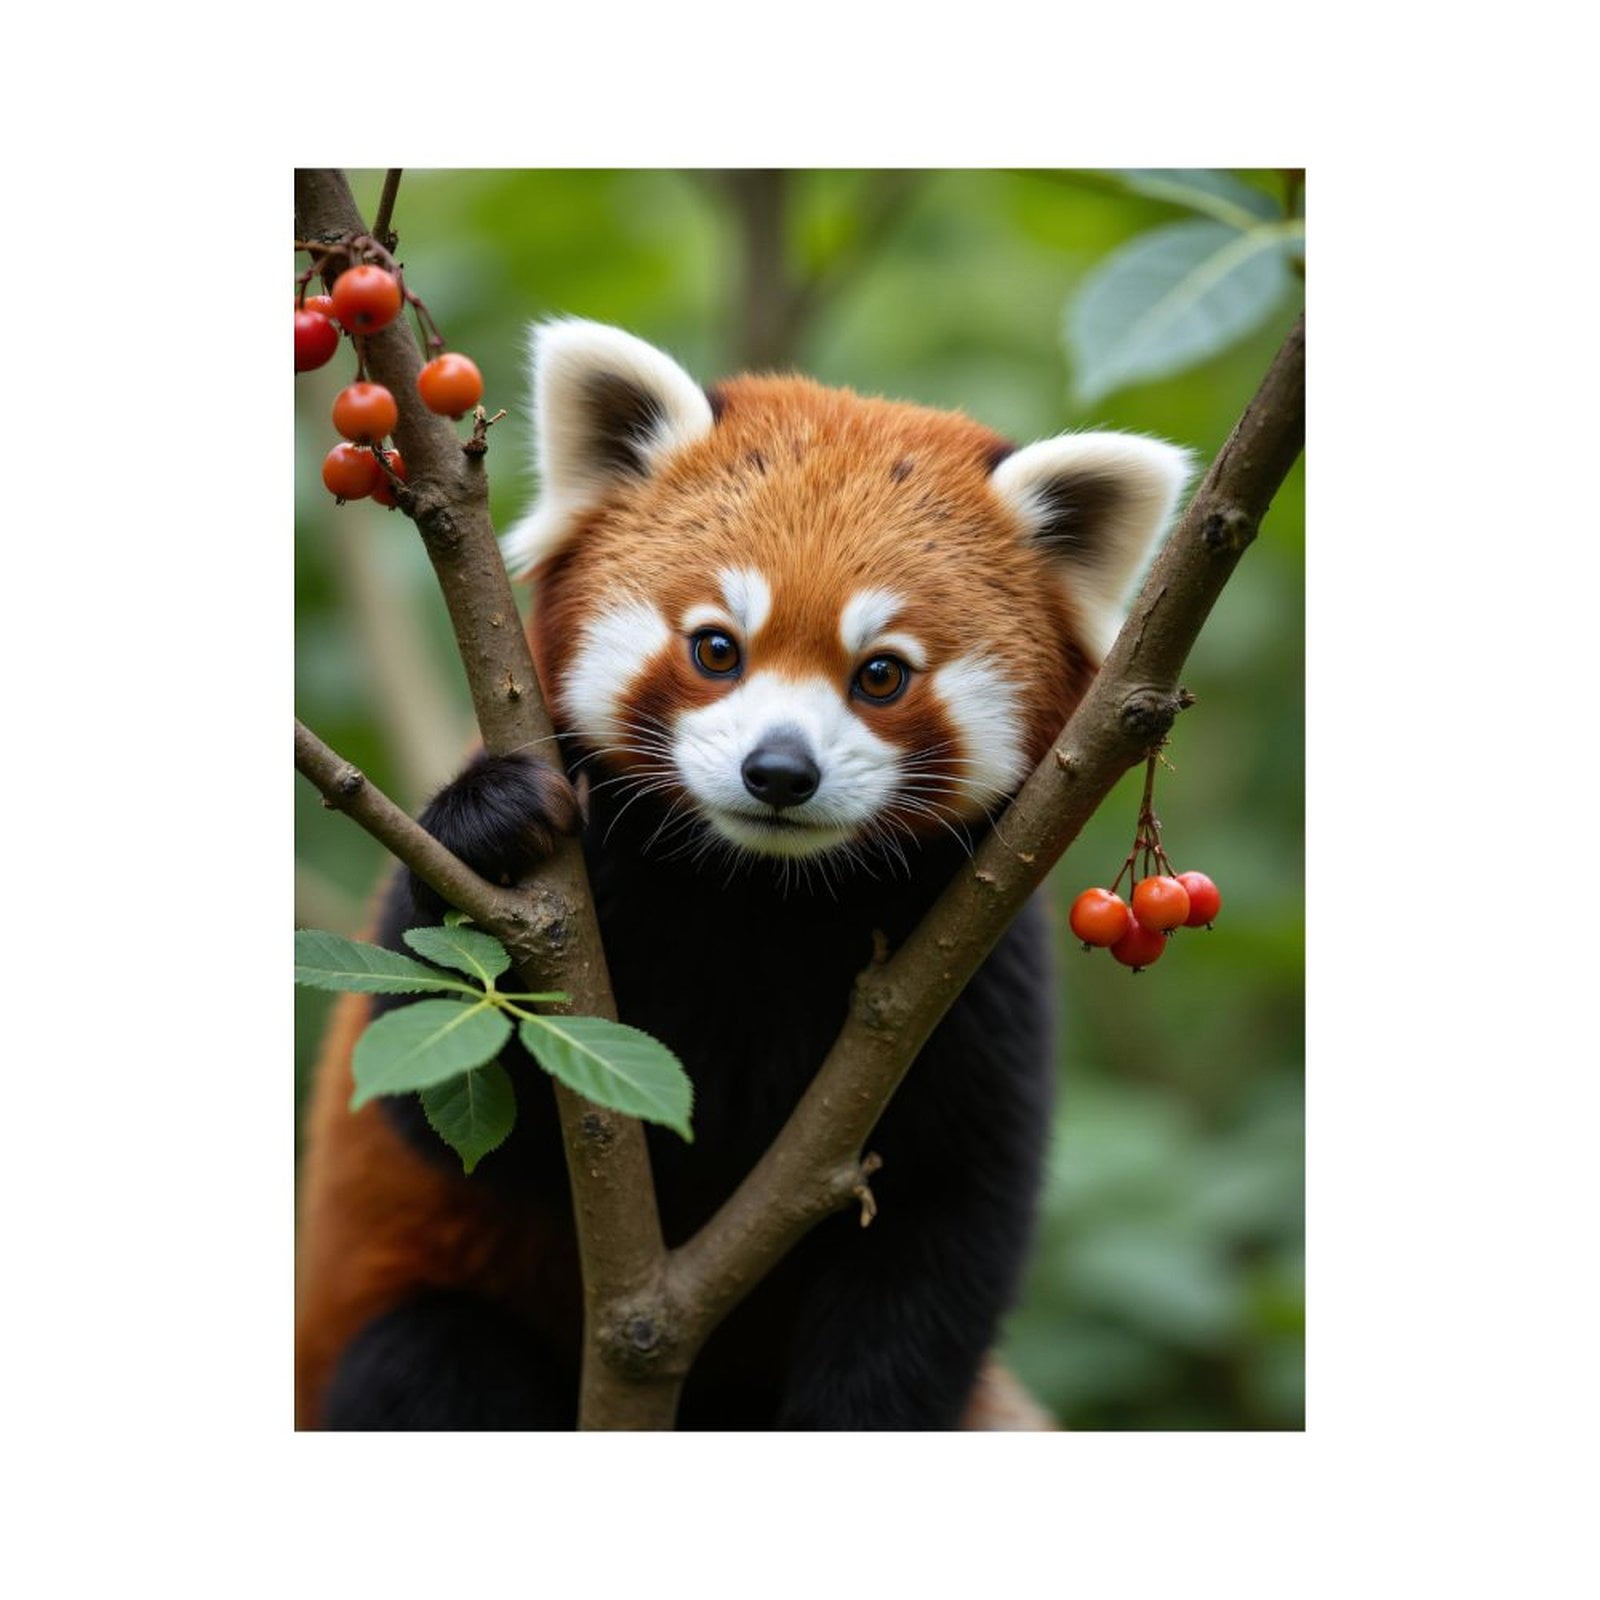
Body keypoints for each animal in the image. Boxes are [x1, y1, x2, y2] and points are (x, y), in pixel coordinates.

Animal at [295, 319, 1191, 1429]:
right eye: (717, 649)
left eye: (881, 674)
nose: (779, 771)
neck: (761, 897)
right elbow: (449, 1105)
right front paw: (486, 823)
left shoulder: (974, 971)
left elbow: (942, 1238)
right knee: (427, 1355)